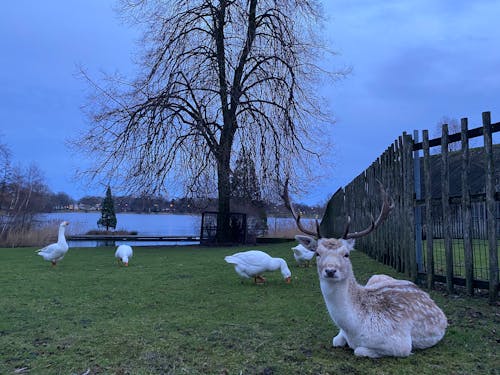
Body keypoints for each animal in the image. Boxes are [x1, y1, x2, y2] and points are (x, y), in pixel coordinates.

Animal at [284, 181, 448, 360]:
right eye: (317, 253)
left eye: (346, 254)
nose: (330, 271)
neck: (354, 328)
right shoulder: (340, 334)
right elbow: (337, 341)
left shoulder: (401, 344)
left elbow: (359, 350)